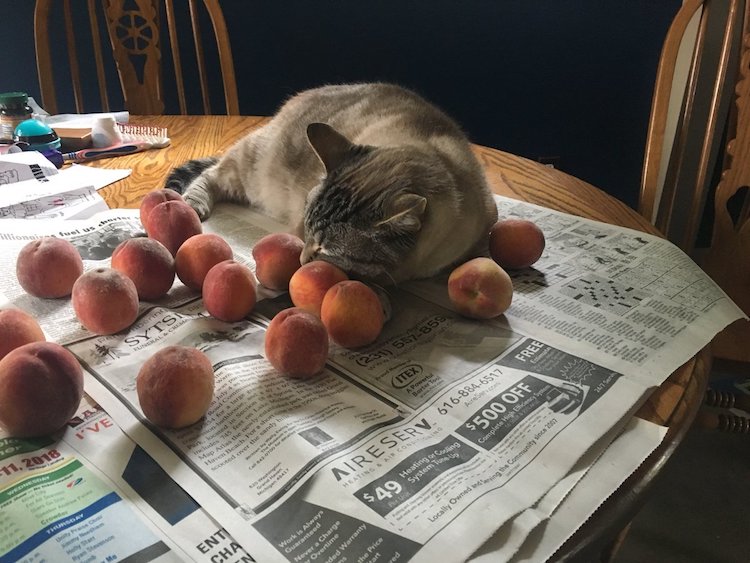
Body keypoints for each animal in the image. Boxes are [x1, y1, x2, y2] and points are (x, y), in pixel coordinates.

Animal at [169, 82, 500, 286]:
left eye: (327, 249)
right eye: (307, 231)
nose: (303, 259)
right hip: (251, 167)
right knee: (212, 173)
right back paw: (192, 204)